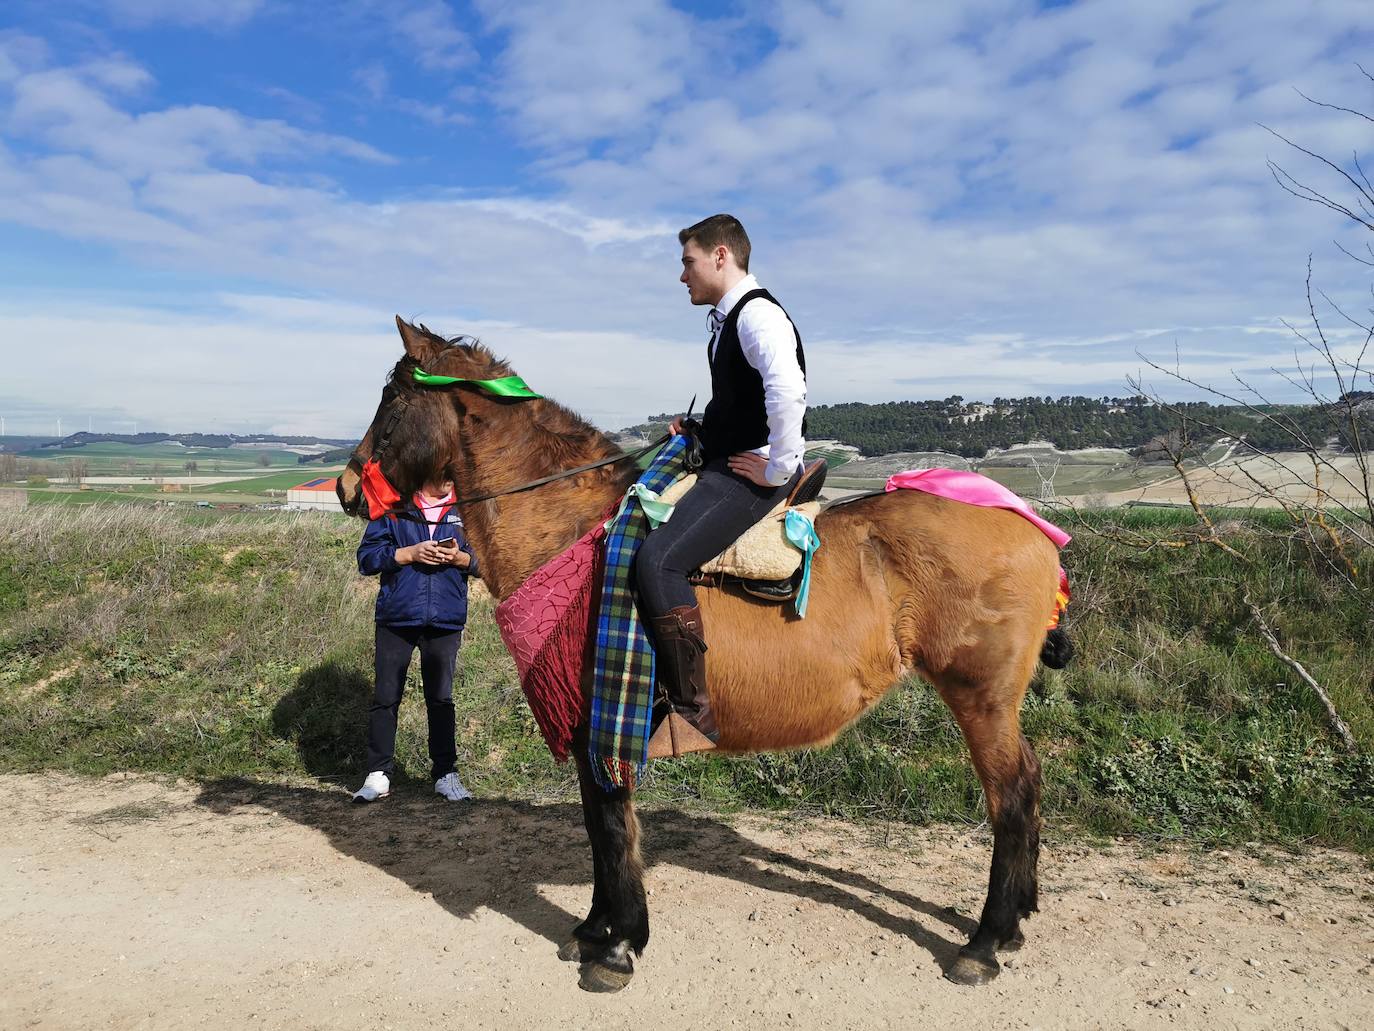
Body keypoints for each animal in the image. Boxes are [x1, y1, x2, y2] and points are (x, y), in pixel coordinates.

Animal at [338, 321, 1066, 995]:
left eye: (393, 400)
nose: (345, 488)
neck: (574, 532)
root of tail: (1026, 521)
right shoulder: (593, 720)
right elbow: (599, 824)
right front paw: (596, 927)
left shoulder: (608, 708)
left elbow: (612, 821)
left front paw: (619, 945)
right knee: (1027, 783)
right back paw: (1016, 919)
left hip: (979, 695)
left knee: (1011, 794)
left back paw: (986, 940)